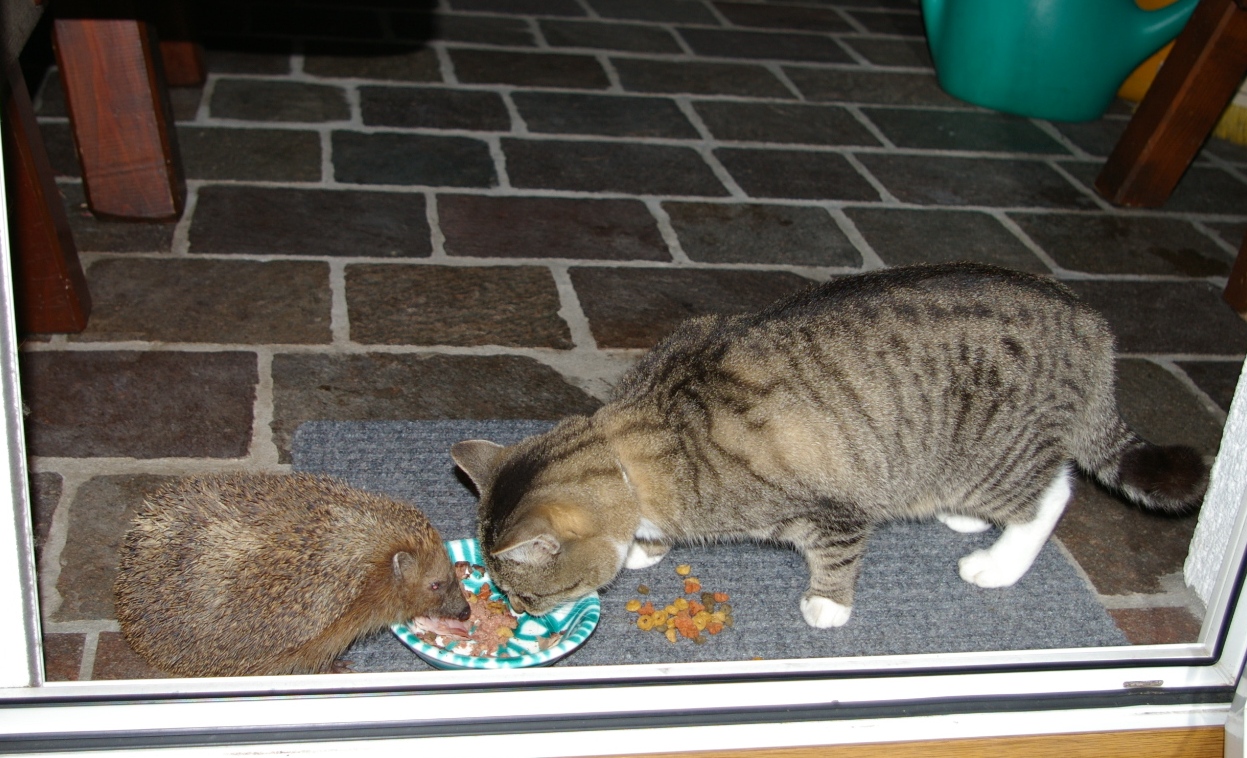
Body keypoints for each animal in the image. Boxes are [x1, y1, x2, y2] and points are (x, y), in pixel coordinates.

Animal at [451, 263, 1207, 630]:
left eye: (521, 592)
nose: (515, 614)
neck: (640, 441)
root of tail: (1089, 323)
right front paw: (645, 545)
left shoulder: (828, 511)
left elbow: (837, 558)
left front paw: (828, 606)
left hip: (993, 458)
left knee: (1054, 491)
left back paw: (997, 562)